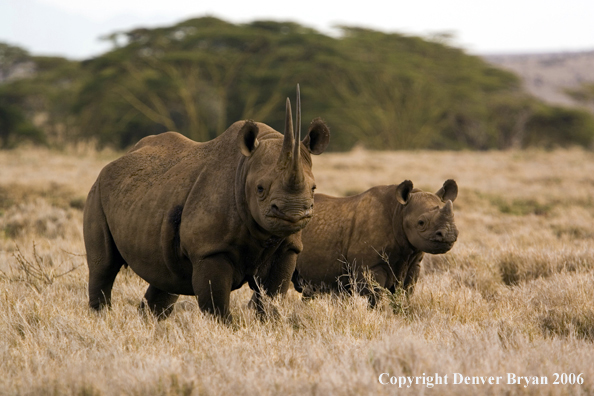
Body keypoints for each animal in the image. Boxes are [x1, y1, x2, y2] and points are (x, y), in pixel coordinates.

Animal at [82, 87, 328, 322]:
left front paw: (269, 325)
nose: (293, 213)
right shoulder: (209, 250)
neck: (244, 169)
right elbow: (217, 306)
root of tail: (116, 161)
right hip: (97, 192)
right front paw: (227, 330)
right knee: (103, 266)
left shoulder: (288, 247)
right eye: (260, 189)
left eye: (314, 188)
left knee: (165, 277)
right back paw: (101, 319)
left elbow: (270, 300)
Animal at [292, 179, 458, 304]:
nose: (449, 235)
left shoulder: (413, 262)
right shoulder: (369, 266)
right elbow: (374, 296)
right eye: (421, 222)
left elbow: (406, 293)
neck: (400, 211)